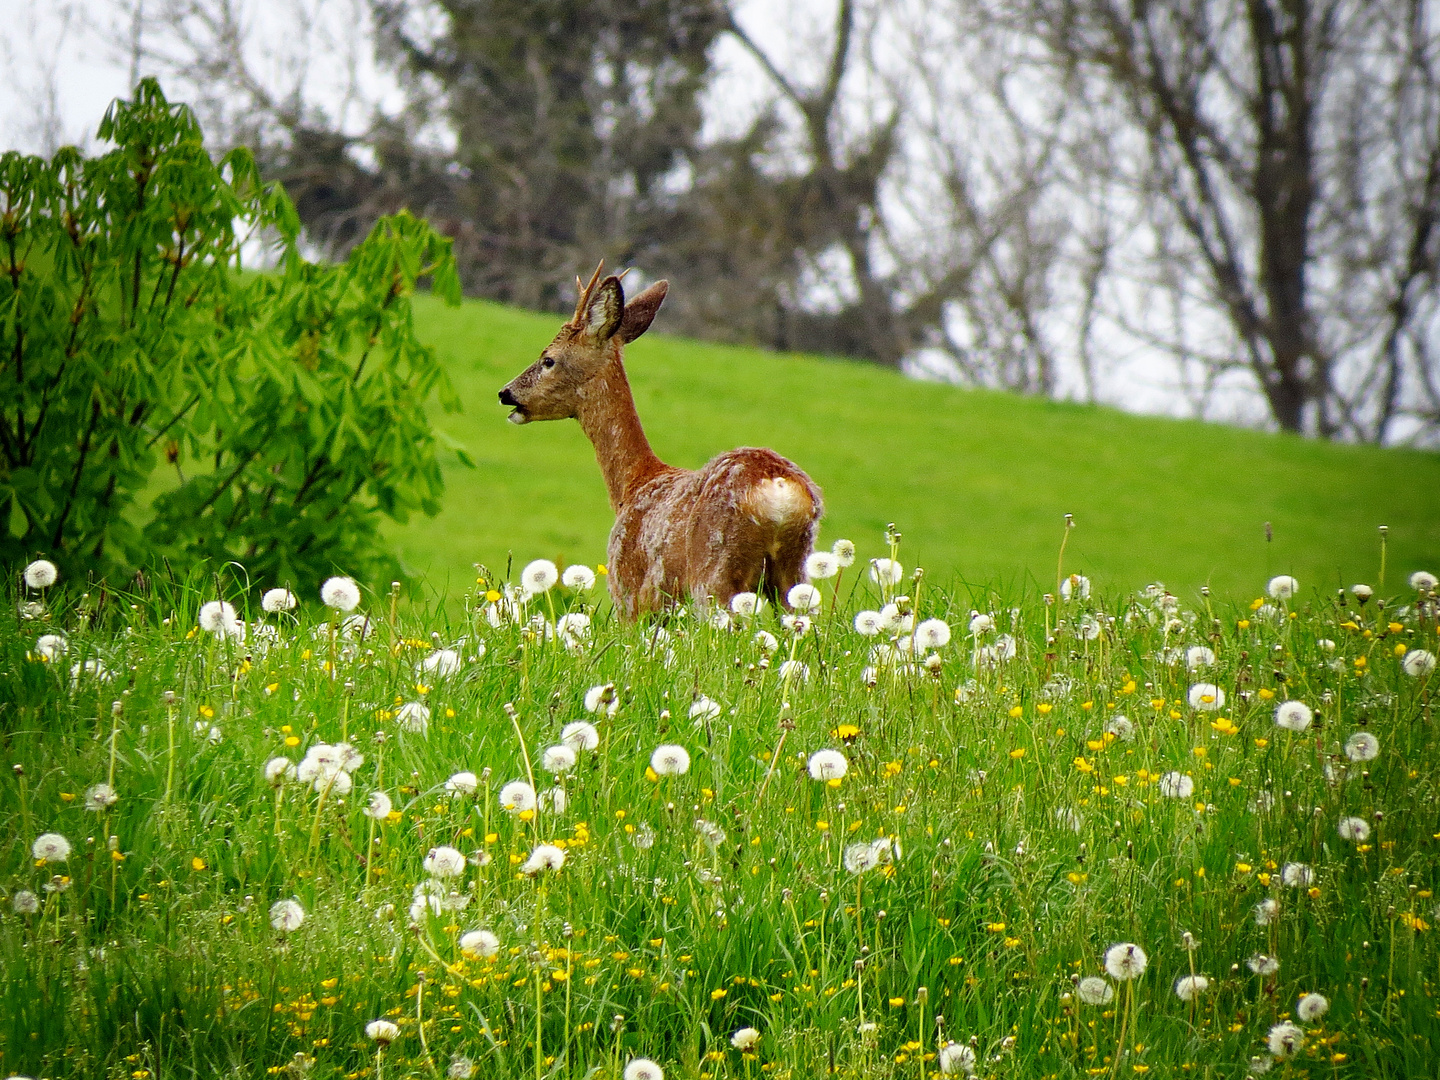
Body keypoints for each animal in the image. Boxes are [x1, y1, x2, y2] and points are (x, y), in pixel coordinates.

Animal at [501, 262, 823, 616]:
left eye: (548, 359)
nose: (506, 393)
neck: (632, 484)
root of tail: (778, 487)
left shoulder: (629, 592)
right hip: (794, 573)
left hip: (714, 573)